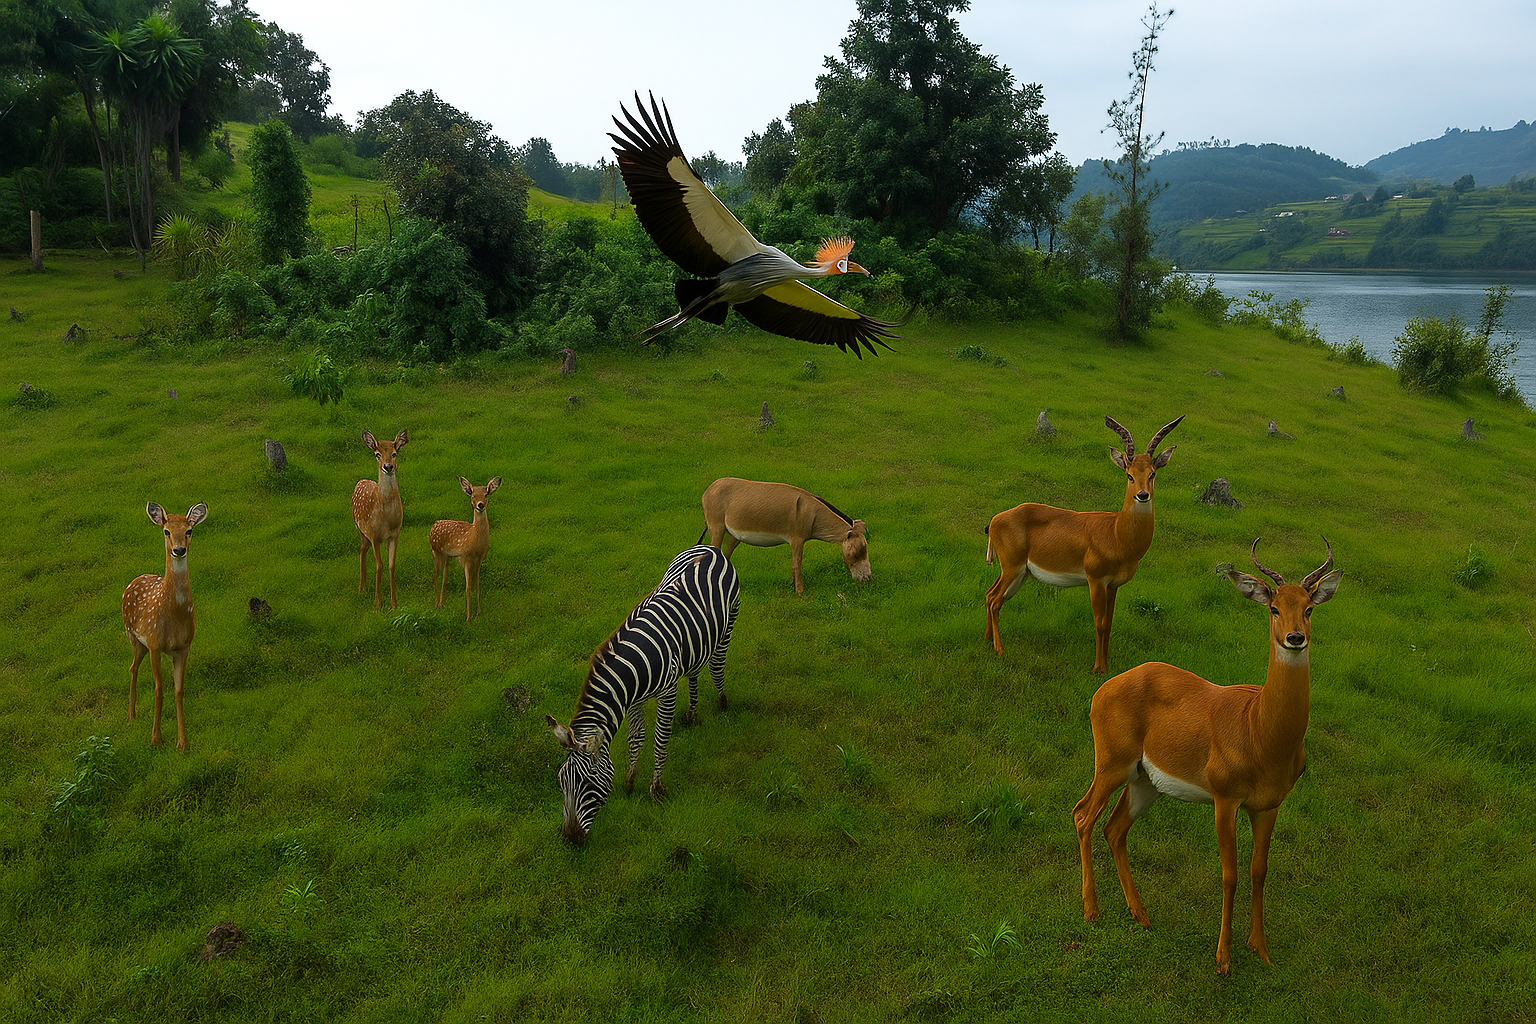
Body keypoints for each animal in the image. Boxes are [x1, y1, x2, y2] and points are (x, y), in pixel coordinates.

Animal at [546, 545, 741, 844]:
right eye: (560, 782)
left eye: (587, 783)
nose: (571, 839)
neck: (634, 667)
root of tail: (710, 548)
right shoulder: (633, 700)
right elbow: (636, 737)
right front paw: (630, 780)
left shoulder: (667, 692)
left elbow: (660, 738)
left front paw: (656, 788)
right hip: (695, 643)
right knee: (696, 669)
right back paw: (693, 713)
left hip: (729, 621)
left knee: (717, 665)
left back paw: (722, 702)